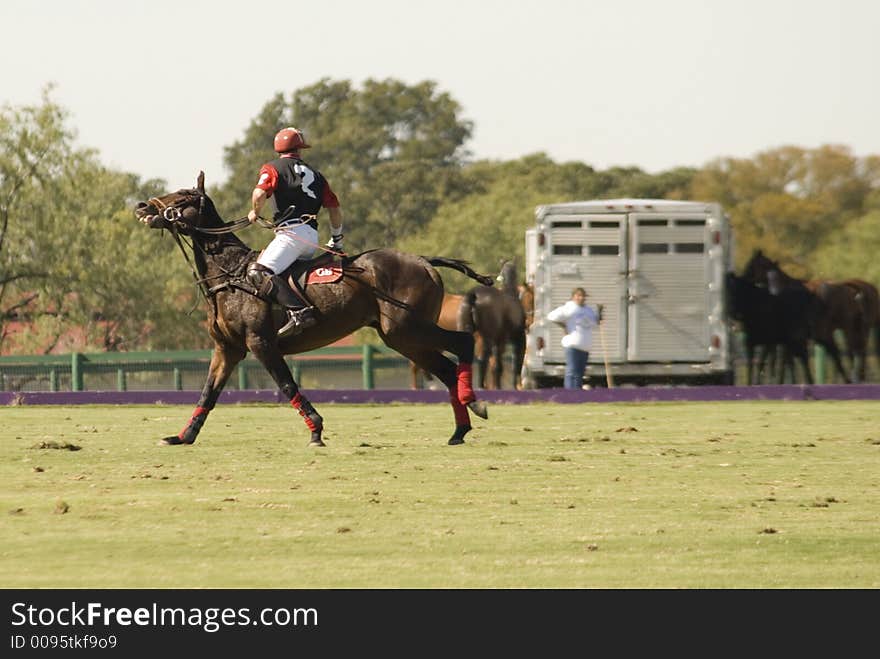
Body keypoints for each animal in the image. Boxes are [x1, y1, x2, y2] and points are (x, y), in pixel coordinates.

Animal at [136, 173, 496, 446]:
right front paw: (182, 437)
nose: (142, 206)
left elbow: (286, 384)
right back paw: (460, 429)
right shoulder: (227, 348)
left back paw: (474, 403)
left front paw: (316, 431)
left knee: (462, 342)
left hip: (406, 327)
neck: (230, 275)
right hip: (402, 338)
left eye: (183, 196)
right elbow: (207, 393)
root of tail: (424, 261)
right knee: (446, 370)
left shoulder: (260, 342)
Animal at [458, 260, 524, 392]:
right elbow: (513, 364)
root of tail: (473, 294)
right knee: (483, 358)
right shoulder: (515, 339)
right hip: (488, 337)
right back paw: (481, 387)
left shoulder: (500, 340)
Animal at [744, 250, 868, 384]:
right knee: (848, 350)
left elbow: (781, 359)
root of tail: (849, 289)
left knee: (852, 351)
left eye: (751, 265)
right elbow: (785, 360)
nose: (743, 279)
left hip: (846, 328)